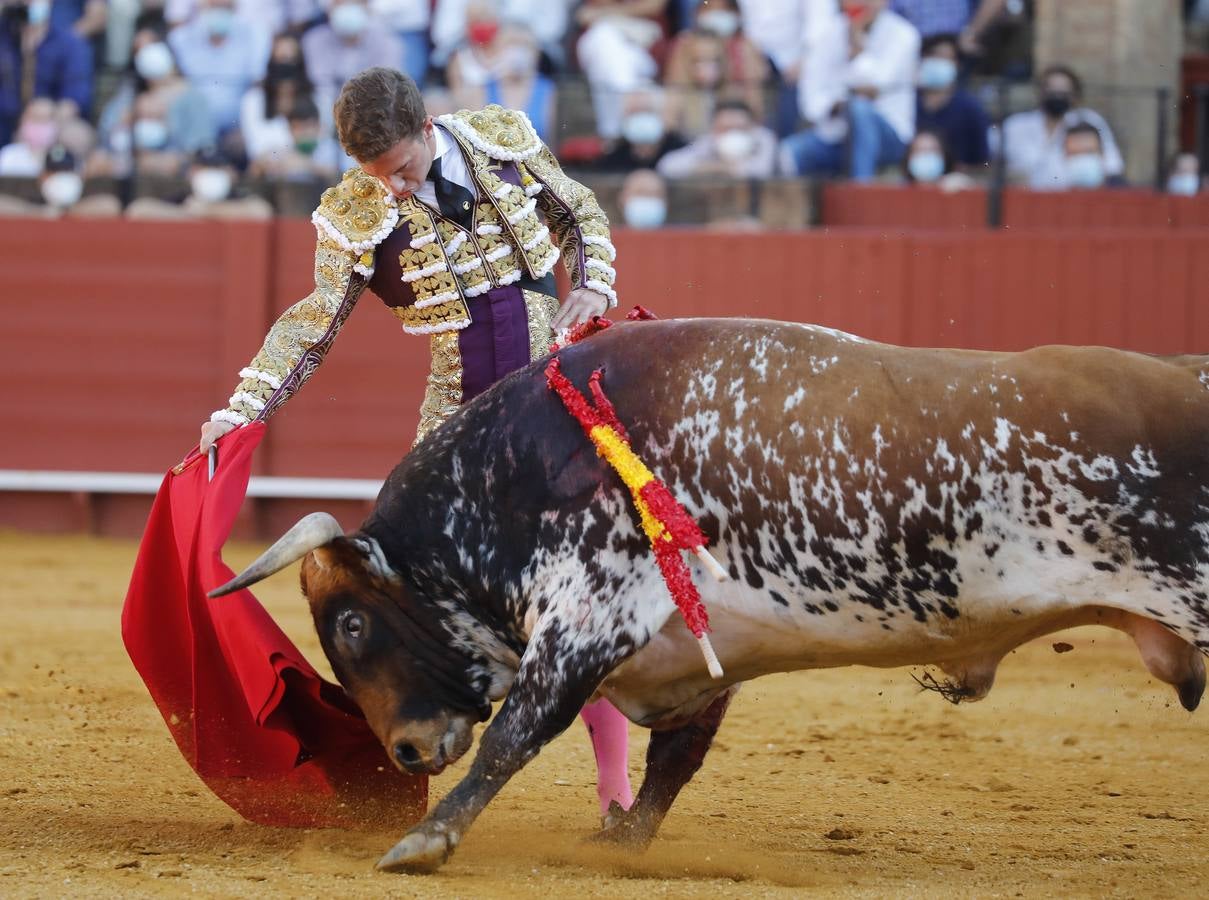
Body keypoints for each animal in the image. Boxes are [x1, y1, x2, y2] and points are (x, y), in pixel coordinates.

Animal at [207, 319, 1209, 870]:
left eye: (350, 623)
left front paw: (424, 843)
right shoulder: (694, 649)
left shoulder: (587, 617)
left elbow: (514, 737)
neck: (519, 472)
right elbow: (672, 759)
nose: (407, 751)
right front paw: (616, 846)